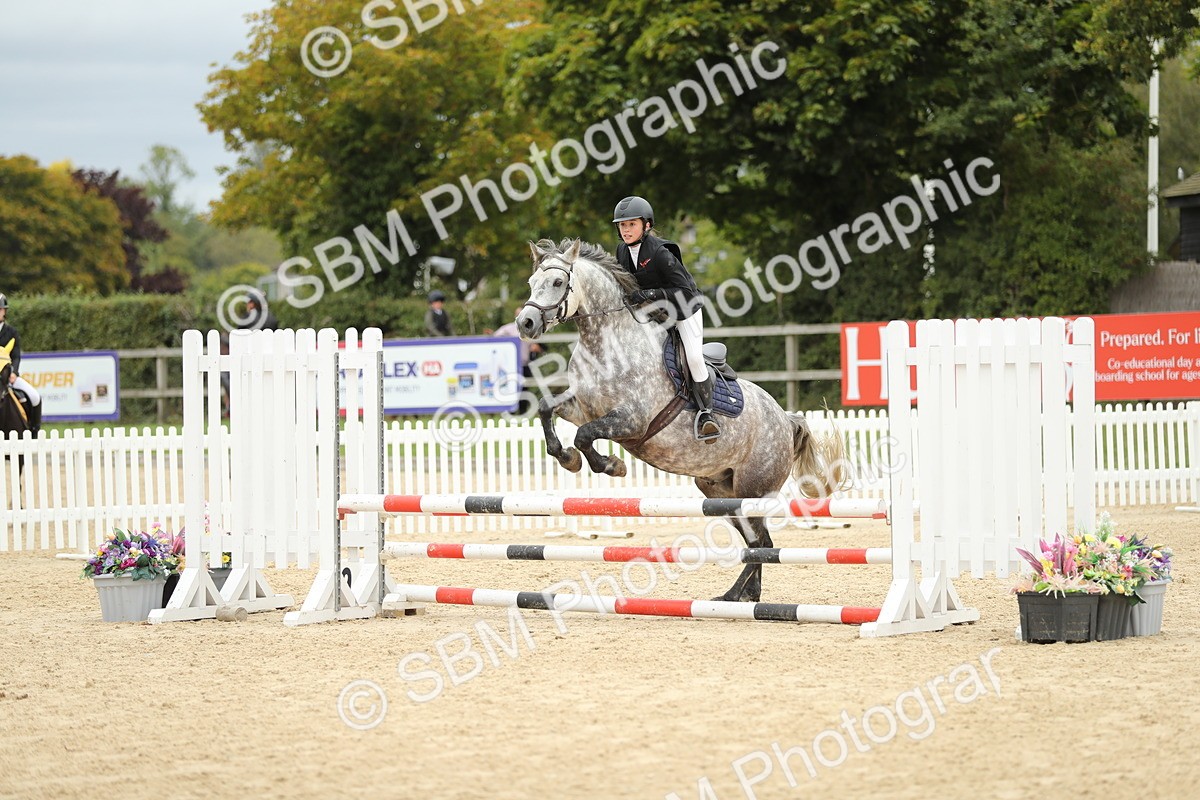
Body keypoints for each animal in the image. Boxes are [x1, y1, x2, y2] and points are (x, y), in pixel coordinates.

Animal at [515, 238, 848, 602]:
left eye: (558, 282)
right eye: (531, 283)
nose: (525, 323)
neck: (604, 342)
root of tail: (785, 420)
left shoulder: (632, 421)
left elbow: (585, 436)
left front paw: (611, 465)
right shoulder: (581, 407)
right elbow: (547, 408)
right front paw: (568, 459)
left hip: (752, 489)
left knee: (762, 542)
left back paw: (737, 596)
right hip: (720, 493)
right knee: (757, 541)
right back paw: (743, 596)